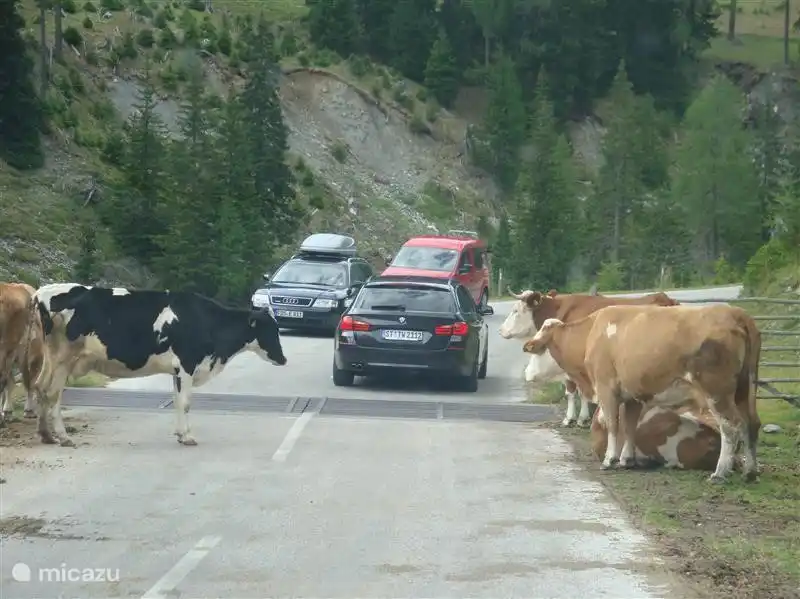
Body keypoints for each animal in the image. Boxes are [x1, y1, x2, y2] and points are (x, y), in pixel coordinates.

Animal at [33, 283, 288, 447]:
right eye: (269, 330)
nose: (283, 359)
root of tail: (42, 292)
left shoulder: (177, 370)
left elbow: (177, 400)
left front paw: (180, 433)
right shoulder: (187, 364)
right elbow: (185, 402)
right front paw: (187, 437)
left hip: (50, 359)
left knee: (40, 387)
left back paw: (46, 435)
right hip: (63, 358)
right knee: (53, 393)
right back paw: (63, 437)